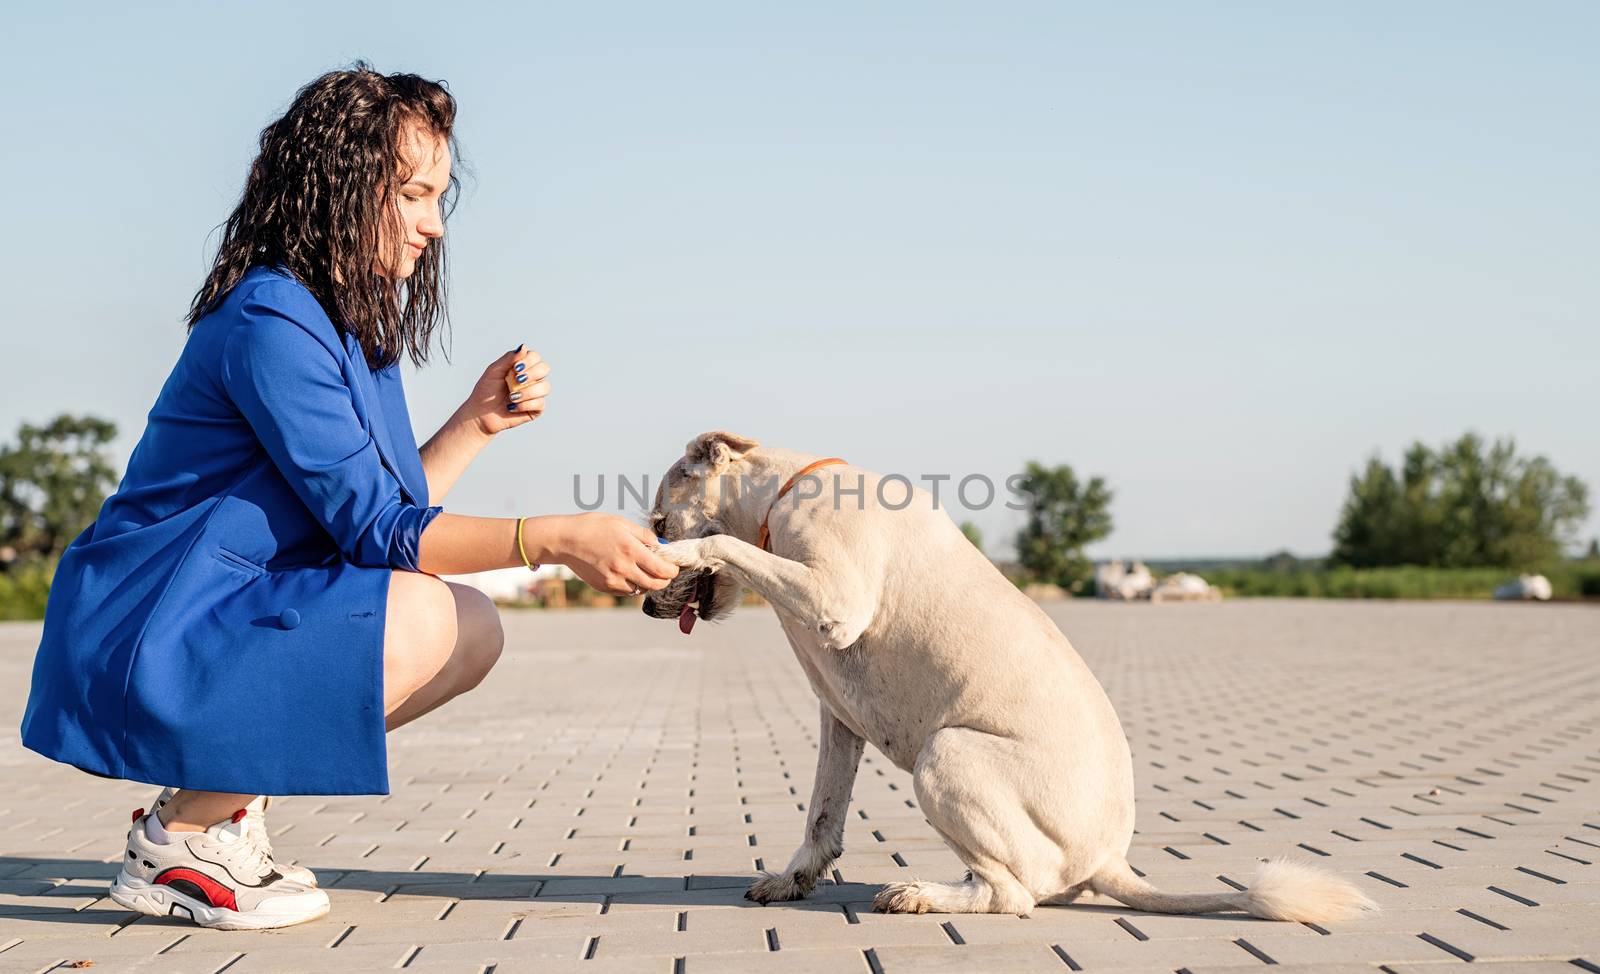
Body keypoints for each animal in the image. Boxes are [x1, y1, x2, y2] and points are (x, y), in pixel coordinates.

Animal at [643, 431, 1382, 921]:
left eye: (655, 521)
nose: (648, 607)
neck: (784, 499)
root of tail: (1108, 861)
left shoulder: (835, 601)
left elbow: (722, 543)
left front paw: (683, 550)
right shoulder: (840, 718)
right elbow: (823, 814)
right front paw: (793, 879)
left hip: (945, 755)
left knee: (1012, 894)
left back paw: (921, 893)